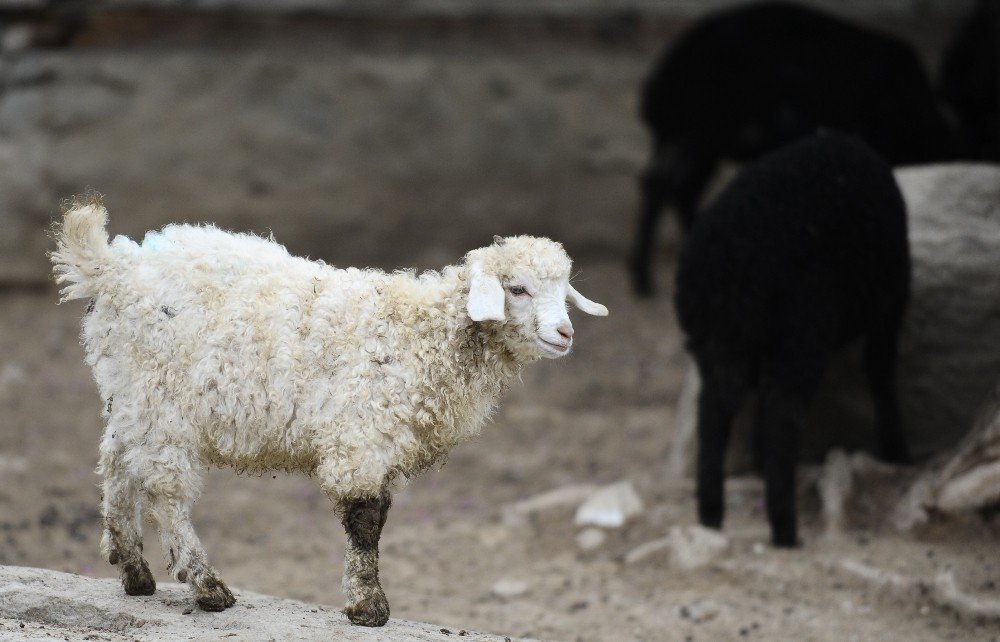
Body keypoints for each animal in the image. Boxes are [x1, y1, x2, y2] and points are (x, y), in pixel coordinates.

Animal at [50, 196, 604, 624]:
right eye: (517, 288)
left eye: (564, 288)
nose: (565, 333)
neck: (421, 333)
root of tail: (112, 268)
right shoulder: (362, 436)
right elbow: (365, 521)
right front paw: (369, 607)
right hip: (163, 401)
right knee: (165, 491)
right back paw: (206, 587)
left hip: (131, 396)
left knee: (116, 464)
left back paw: (133, 570)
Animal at [632, 0, 952, 292]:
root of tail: (659, 89)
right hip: (703, 132)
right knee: (672, 185)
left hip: (695, 140)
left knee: (667, 185)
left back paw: (654, 270)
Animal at [676, 134, 912, 544]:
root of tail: (728, 267)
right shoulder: (893, 298)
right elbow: (880, 369)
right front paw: (894, 449)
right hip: (800, 332)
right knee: (783, 415)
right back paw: (784, 528)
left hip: (719, 341)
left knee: (715, 411)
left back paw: (711, 512)